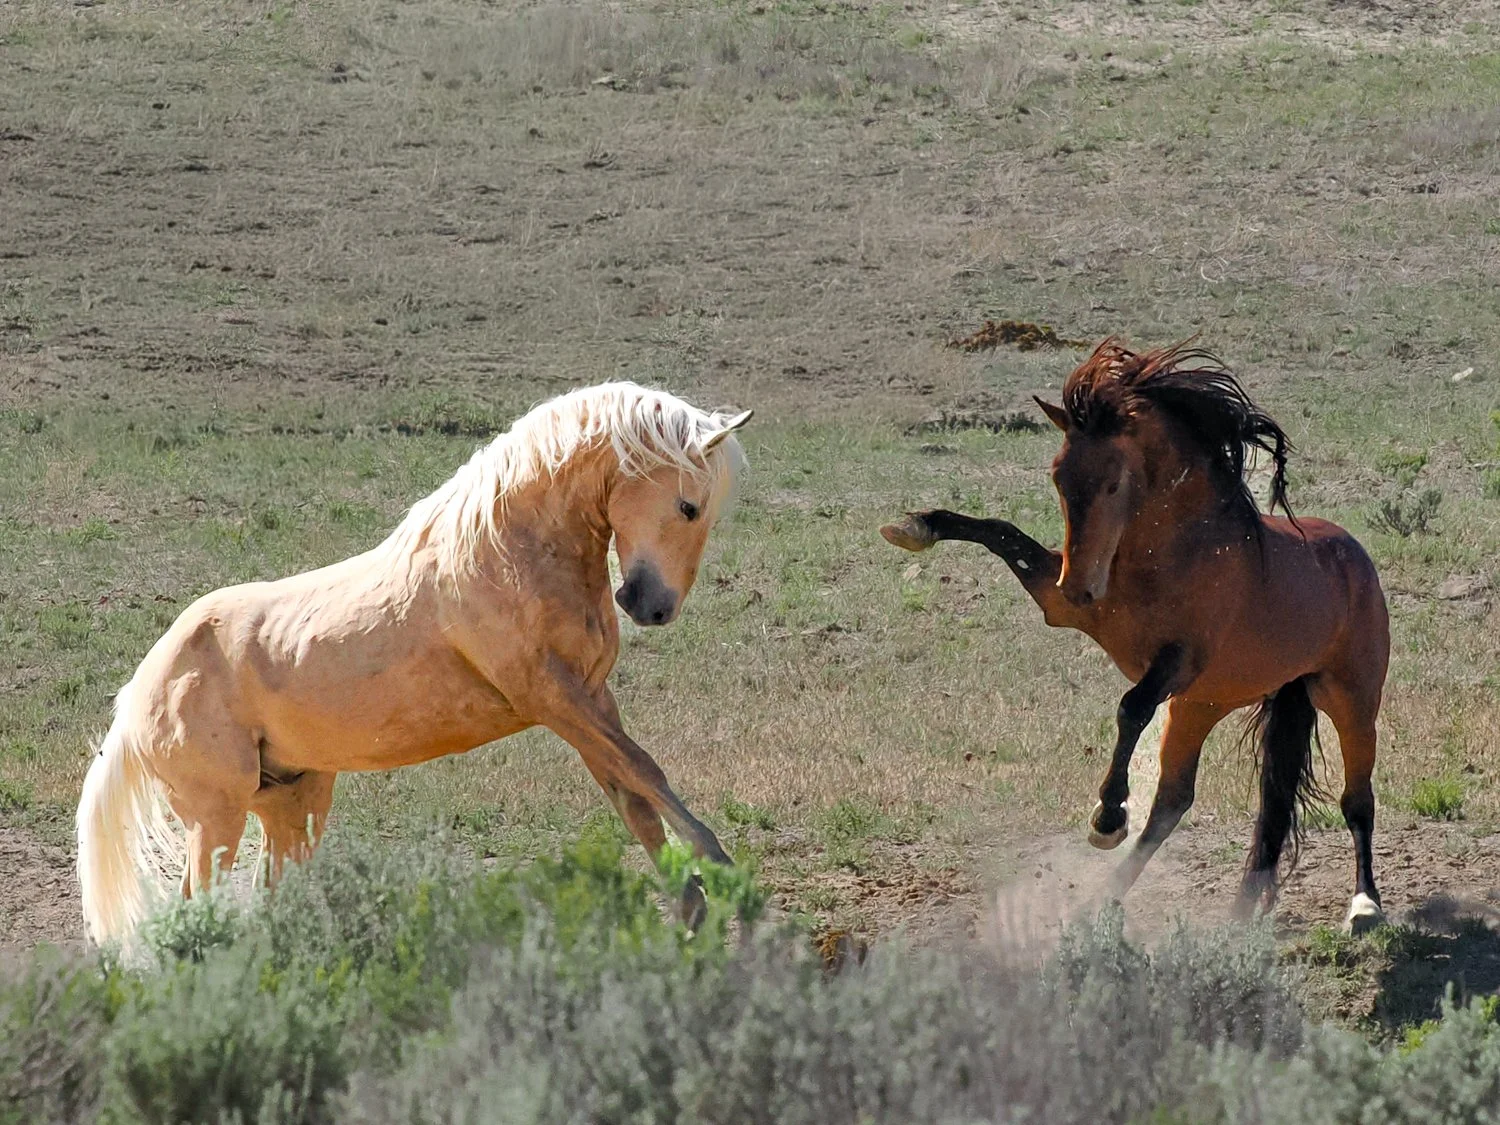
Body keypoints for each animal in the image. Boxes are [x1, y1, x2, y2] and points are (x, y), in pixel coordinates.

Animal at [76, 382, 753, 946]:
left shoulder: (588, 701)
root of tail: (137, 695)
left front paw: (692, 904)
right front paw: (721, 873)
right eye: (689, 507)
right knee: (197, 907)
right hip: (217, 816)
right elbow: (646, 770)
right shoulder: (552, 697)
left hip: (293, 804)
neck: (505, 553)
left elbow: (635, 798)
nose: (651, 606)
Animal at [882, 339, 1390, 933]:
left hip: (1347, 698)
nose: (1081, 585)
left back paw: (1364, 905)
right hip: (1202, 706)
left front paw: (1107, 815)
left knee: (1357, 801)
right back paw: (1113, 904)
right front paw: (915, 525)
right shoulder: (1059, 604)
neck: (1168, 554)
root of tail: (1355, 557)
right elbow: (999, 532)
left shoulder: (1180, 660)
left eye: (1113, 481)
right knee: (1175, 803)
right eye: (1058, 477)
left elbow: (1131, 706)